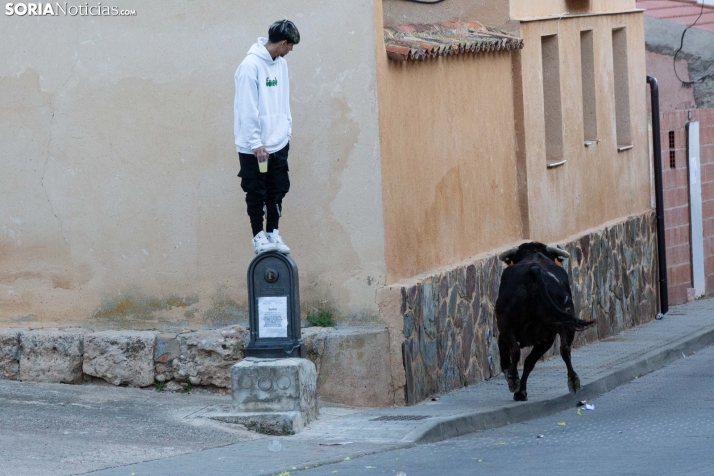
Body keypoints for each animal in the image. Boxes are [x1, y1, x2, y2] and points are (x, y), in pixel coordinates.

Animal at [492, 242, 592, 402]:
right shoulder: (545, 339)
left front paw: (519, 389)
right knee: (564, 349)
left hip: (507, 324)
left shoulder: (505, 333)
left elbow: (510, 360)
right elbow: (528, 362)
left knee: (516, 351)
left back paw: (513, 379)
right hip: (560, 327)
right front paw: (521, 392)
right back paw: (573, 381)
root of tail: (535, 269)